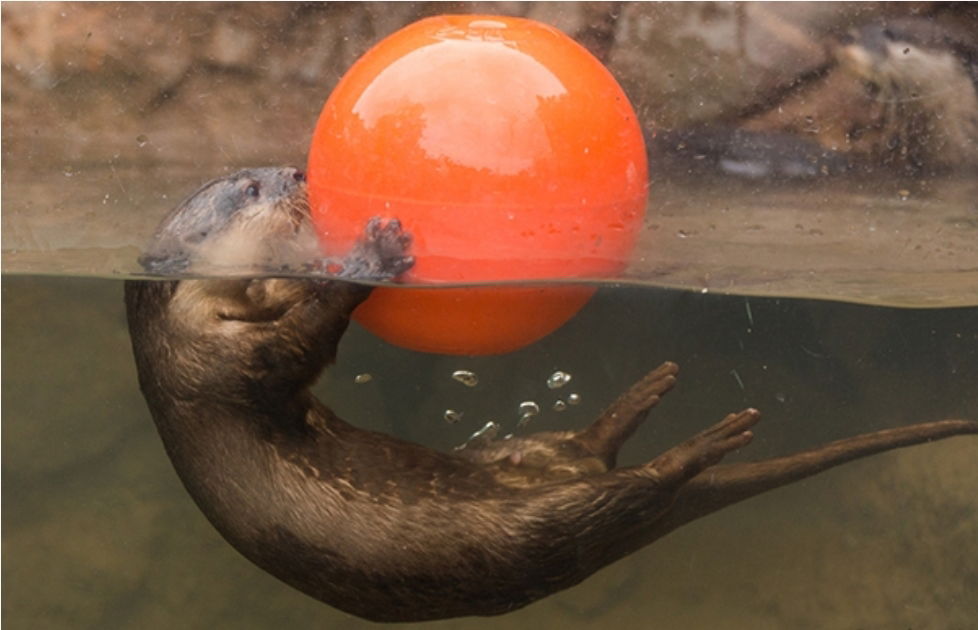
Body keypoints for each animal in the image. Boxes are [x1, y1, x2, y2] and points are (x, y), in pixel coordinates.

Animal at [125, 167, 977, 623]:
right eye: (251, 188)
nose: (298, 172)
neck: (185, 343)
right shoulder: (225, 366)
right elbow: (303, 342)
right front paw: (375, 251)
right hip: (535, 532)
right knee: (633, 491)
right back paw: (705, 444)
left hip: (529, 454)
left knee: (589, 449)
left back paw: (647, 398)